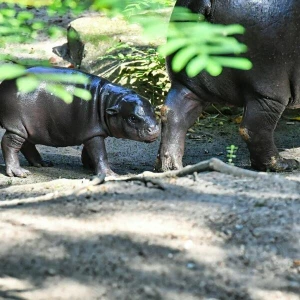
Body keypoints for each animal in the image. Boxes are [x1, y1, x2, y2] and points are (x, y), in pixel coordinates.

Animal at [0, 67, 159, 177]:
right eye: (132, 118)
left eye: (153, 110)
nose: (155, 129)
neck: (110, 101)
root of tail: (4, 83)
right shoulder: (94, 134)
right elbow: (100, 153)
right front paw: (110, 174)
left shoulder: (92, 132)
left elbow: (90, 151)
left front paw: (90, 167)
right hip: (17, 125)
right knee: (10, 143)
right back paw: (19, 173)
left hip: (27, 127)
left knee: (27, 144)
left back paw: (43, 164)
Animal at [156, 0, 300, 171]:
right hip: (270, 90)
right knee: (253, 129)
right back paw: (284, 164)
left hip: (186, 83)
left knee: (173, 114)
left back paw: (171, 167)